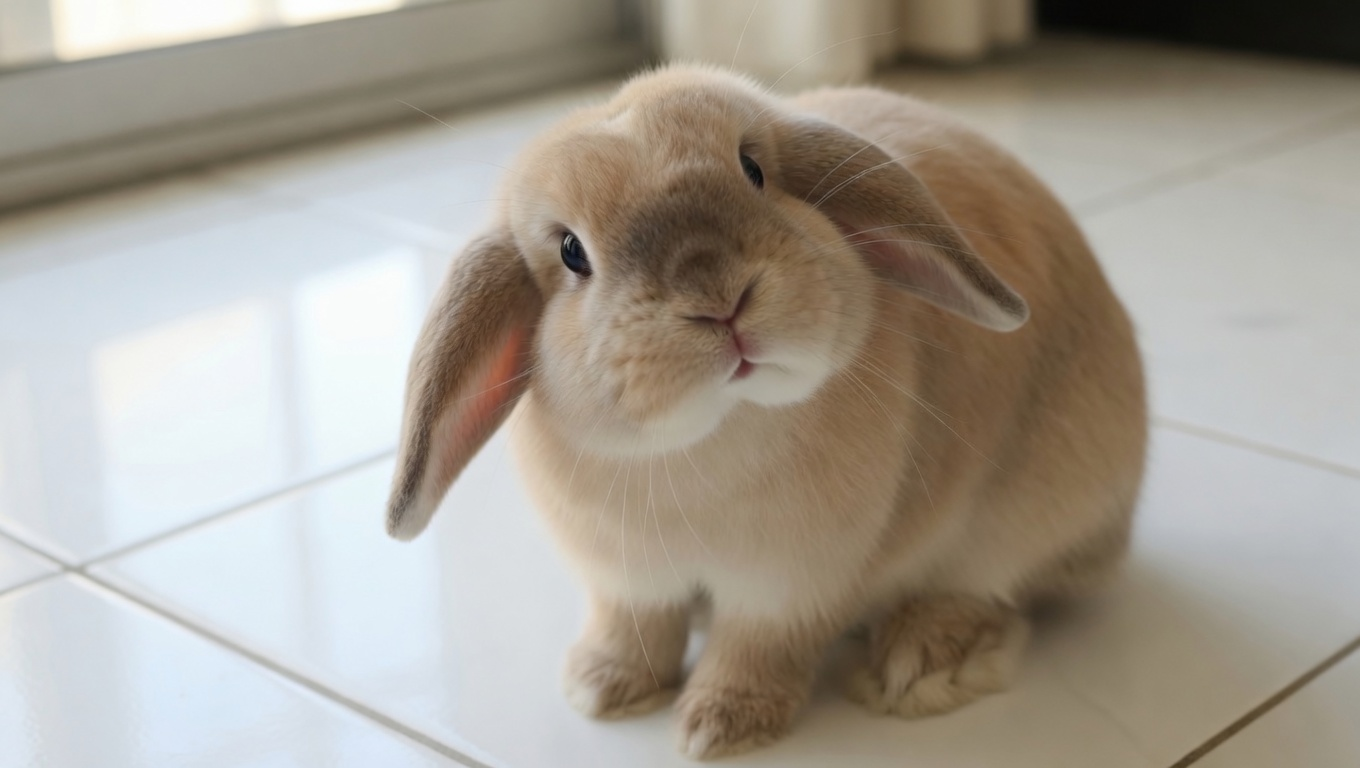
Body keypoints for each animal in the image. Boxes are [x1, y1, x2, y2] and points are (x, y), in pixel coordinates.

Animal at [386, 64, 1147, 760]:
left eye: (753, 170)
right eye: (572, 252)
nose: (721, 300)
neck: (718, 431)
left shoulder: (789, 588)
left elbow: (755, 649)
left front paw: (720, 726)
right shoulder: (624, 580)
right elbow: (633, 627)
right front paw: (602, 688)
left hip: (1023, 517)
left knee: (993, 590)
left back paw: (918, 665)